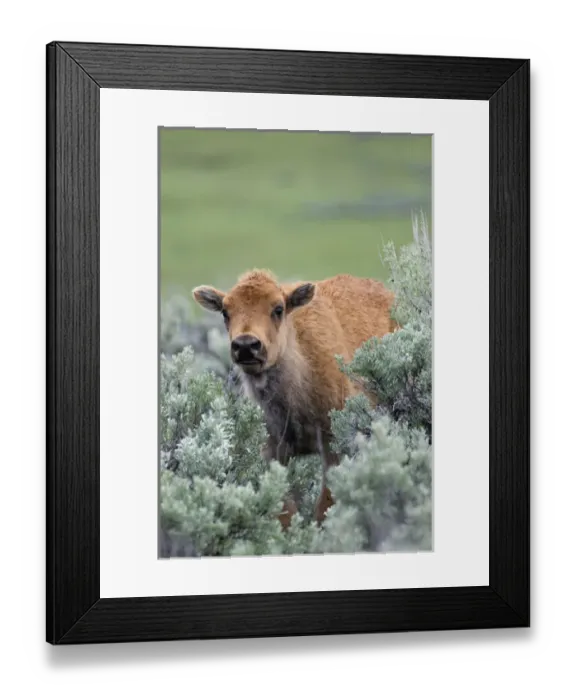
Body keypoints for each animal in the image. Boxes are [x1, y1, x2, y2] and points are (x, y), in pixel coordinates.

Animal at [192, 269, 397, 527]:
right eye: (225, 312)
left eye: (278, 309)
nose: (246, 345)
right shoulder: (273, 451)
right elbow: (285, 512)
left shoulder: (334, 446)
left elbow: (324, 506)